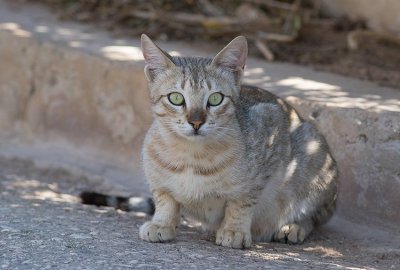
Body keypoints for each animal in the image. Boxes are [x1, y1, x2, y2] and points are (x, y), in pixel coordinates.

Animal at [81, 34, 338, 249]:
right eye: (176, 98)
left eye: (215, 99)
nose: (195, 122)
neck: (190, 156)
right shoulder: (156, 176)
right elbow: (165, 199)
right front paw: (162, 223)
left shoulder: (269, 134)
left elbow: (241, 202)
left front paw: (234, 230)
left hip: (315, 165)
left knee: (314, 216)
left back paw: (292, 227)